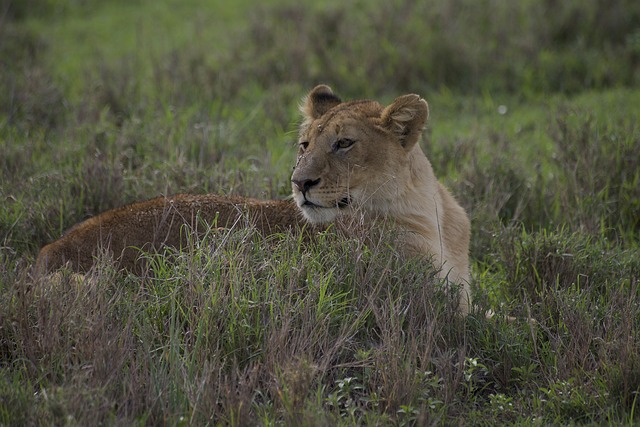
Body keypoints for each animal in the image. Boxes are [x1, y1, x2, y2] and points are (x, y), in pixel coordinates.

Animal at [37, 86, 472, 314]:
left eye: (344, 143)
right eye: (305, 145)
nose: (300, 183)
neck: (426, 209)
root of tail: (47, 252)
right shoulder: (424, 300)